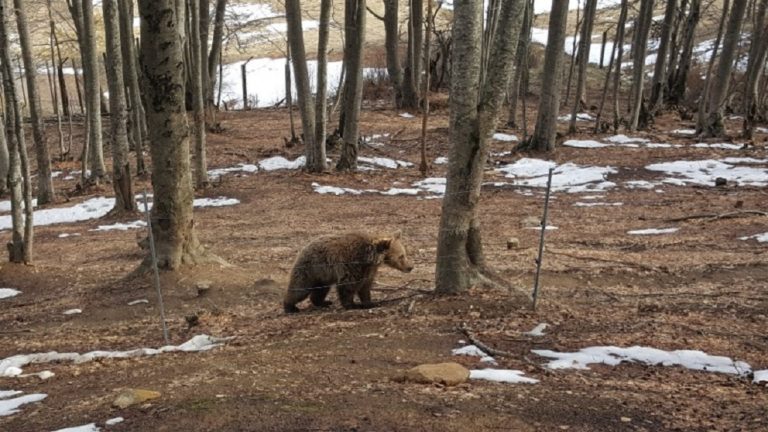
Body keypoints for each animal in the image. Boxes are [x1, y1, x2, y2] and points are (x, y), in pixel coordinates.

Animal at [284, 231, 414, 312]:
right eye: (401, 256)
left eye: (404, 254)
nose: (410, 267)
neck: (370, 258)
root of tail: (303, 248)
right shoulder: (351, 263)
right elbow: (348, 286)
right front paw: (352, 305)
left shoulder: (368, 271)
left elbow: (365, 287)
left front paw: (370, 303)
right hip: (311, 268)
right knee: (300, 288)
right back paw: (290, 307)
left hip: (322, 276)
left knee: (320, 290)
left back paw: (324, 302)